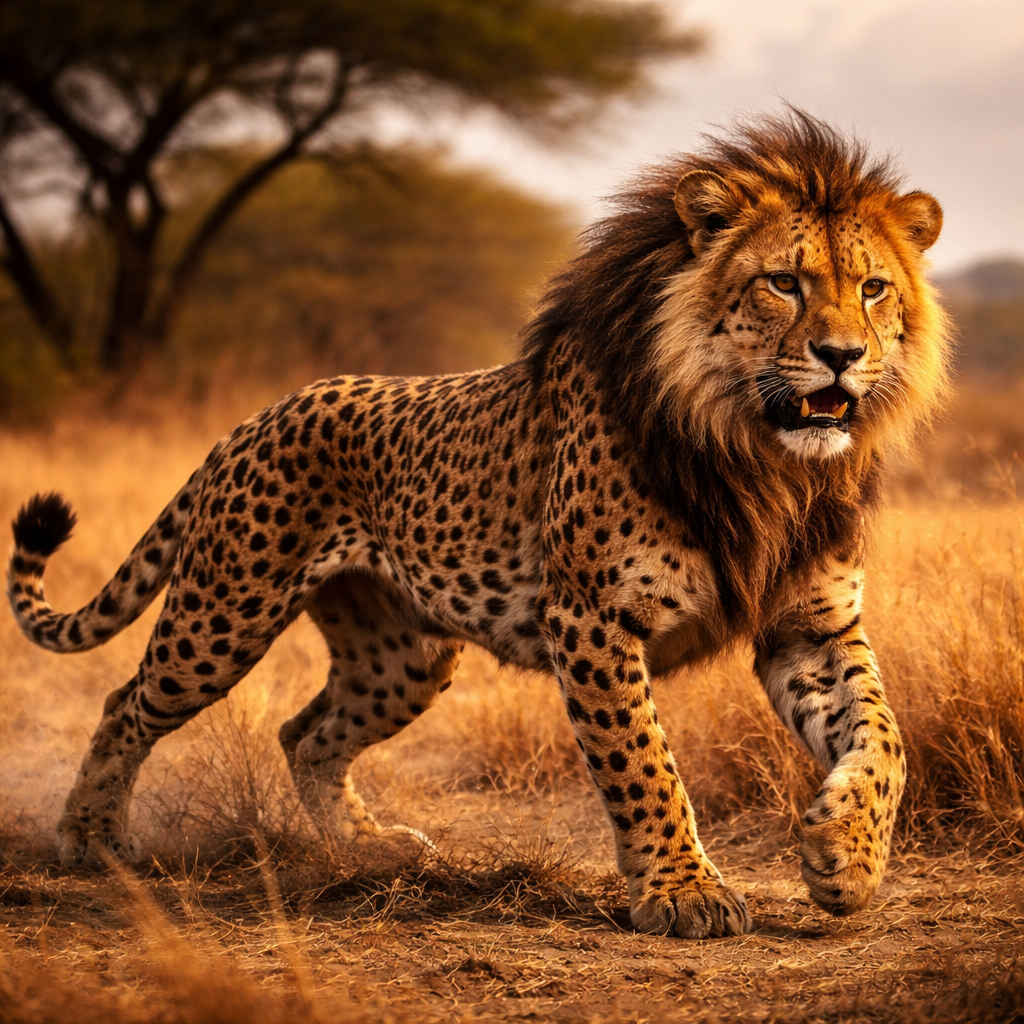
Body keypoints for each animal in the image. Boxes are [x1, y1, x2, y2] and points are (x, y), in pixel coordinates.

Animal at [7, 110, 950, 939]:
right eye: (783, 283)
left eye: (873, 289)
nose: (842, 356)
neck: (762, 456)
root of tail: (255, 417)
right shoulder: (593, 618)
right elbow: (645, 763)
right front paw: (683, 892)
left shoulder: (812, 626)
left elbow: (883, 738)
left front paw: (846, 859)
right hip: (223, 614)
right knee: (128, 702)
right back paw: (90, 841)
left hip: (404, 659)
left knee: (305, 733)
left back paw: (368, 850)